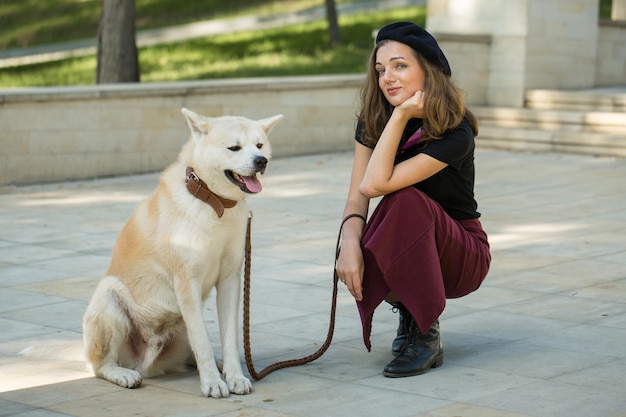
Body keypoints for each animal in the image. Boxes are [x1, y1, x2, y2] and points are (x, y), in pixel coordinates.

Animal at [81, 107, 282, 396]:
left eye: (259, 145)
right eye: (234, 147)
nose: (261, 161)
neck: (214, 205)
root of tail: (145, 364)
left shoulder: (230, 279)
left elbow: (229, 340)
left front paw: (233, 376)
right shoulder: (187, 282)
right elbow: (203, 343)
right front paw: (212, 383)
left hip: (179, 328)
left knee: (191, 356)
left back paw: (218, 366)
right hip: (108, 295)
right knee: (100, 365)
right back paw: (123, 374)